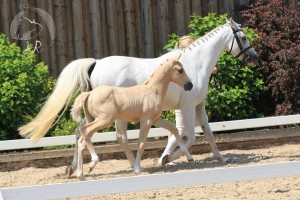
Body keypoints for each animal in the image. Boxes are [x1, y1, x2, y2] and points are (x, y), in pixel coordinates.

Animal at [18, 18, 258, 175]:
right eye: (243, 37)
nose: (254, 57)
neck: (195, 65)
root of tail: (95, 63)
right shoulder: (187, 107)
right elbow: (189, 137)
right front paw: (168, 159)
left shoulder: (198, 107)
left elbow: (207, 134)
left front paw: (222, 157)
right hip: (112, 117)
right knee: (113, 137)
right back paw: (123, 166)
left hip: (94, 115)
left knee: (80, 133)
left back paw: (75, 168)